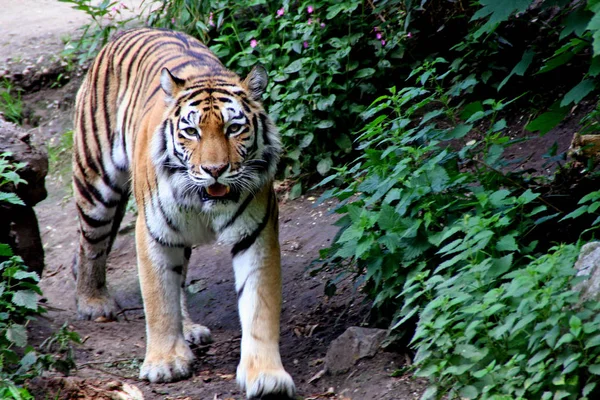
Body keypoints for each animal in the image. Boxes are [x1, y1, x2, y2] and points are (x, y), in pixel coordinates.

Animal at [72, 26, 296, 398]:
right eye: (191, 131)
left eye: (234, 128)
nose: (215, 170)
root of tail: (129, 30)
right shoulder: (152, 232)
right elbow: (158, 299)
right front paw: (164, 363)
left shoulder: (256, 233)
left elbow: (258, 306)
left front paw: (266, 376)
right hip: (96, 184)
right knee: (91, 244)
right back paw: (93, 301)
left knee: (178, 278)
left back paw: (189, 329)